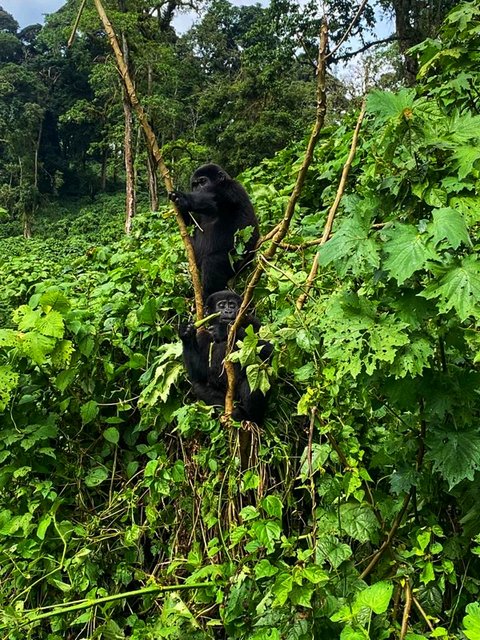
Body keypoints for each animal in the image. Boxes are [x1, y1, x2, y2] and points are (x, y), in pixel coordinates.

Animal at [169, 162, 258, 298]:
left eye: (203, 182)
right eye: (194, 185)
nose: (198, 190)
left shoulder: (232, 188)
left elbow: (213, 201)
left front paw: (183, 198)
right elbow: (190, 223)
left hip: (239, 260)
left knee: (213, 262)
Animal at [178, 292, 272, 422]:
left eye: (232, 305)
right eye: (221, 306)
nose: (228, 311)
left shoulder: (253, 321)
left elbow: (270, 349)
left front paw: (225, 330)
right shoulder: (201, 335)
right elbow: (198, 373)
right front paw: (186, 333)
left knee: (255, 374)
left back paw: (249, 417)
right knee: (198, 386)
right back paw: (226, 410)